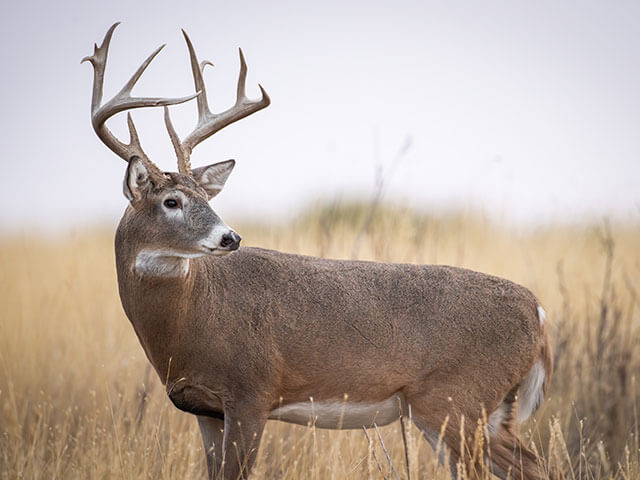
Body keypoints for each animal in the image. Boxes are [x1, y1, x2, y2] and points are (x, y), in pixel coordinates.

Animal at [85, 22, 560, 480]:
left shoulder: (251, 392)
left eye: (206, 196)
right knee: (537, 465)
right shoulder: (206, 410)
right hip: (480, 411)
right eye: (172, 201)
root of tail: (538, 311)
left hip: (456, 400)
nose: (230, 238)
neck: (189, 322)